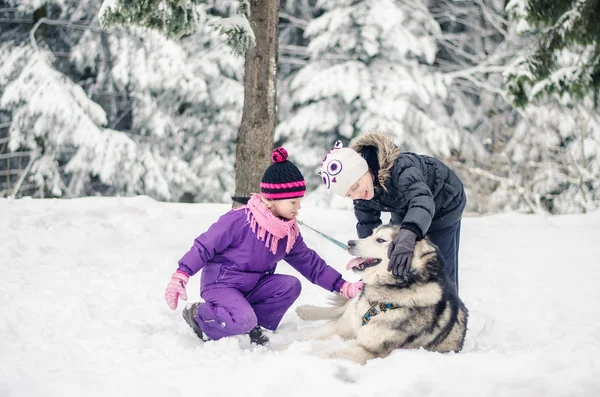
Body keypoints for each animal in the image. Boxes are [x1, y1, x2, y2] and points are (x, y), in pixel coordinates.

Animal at [296, 224, 468, 364]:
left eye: (380, 240)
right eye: (370, 234)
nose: (350, 243)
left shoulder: (374, 352)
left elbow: (328, 354)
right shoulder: (345, 326)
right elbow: (307, 336)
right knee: (342, 309)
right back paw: (306, 311)